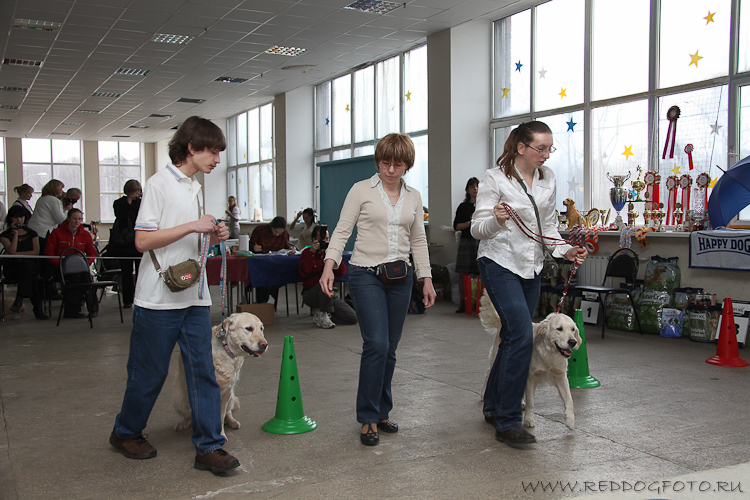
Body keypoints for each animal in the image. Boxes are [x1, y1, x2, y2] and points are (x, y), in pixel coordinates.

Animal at [479, 292, 581, 430]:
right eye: (559, 329)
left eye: (573, 329)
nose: (573, 342)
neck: (549, 354)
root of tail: (503, 323)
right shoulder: (532, 377)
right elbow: (531, 402)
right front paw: (528, 419)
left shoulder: (561, 377)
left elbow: (569, 400)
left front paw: (570, 420)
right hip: (497, 356)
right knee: (489, 372)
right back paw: (484, 394)